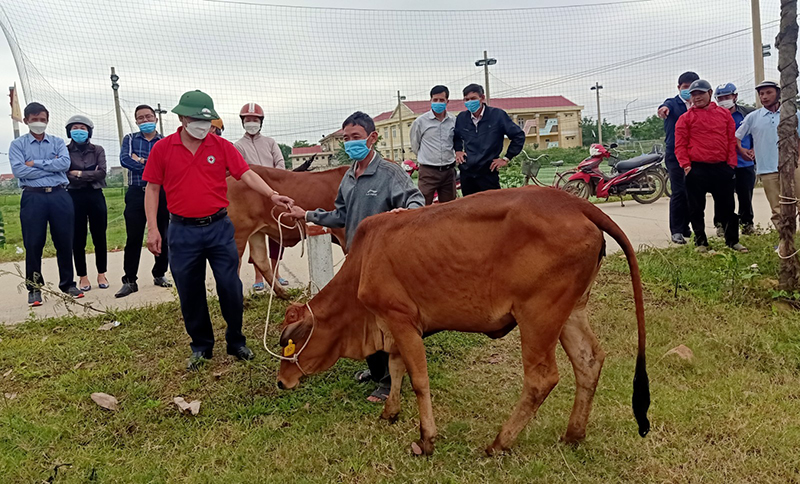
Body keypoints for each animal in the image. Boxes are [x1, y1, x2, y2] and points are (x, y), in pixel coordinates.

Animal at [276, 185, 648, 454]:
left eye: (288, 342)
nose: (281, 382)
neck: (363, 264)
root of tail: (574, 204)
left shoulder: (400, 319)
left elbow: (418, 380)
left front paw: (426, 439)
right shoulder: (395, 326)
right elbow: (395, 368)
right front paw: (390, 412)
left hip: (538, 315)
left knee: (541, 378)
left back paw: (500, 442)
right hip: (570, 311)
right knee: (589, 361)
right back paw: (573, 434)